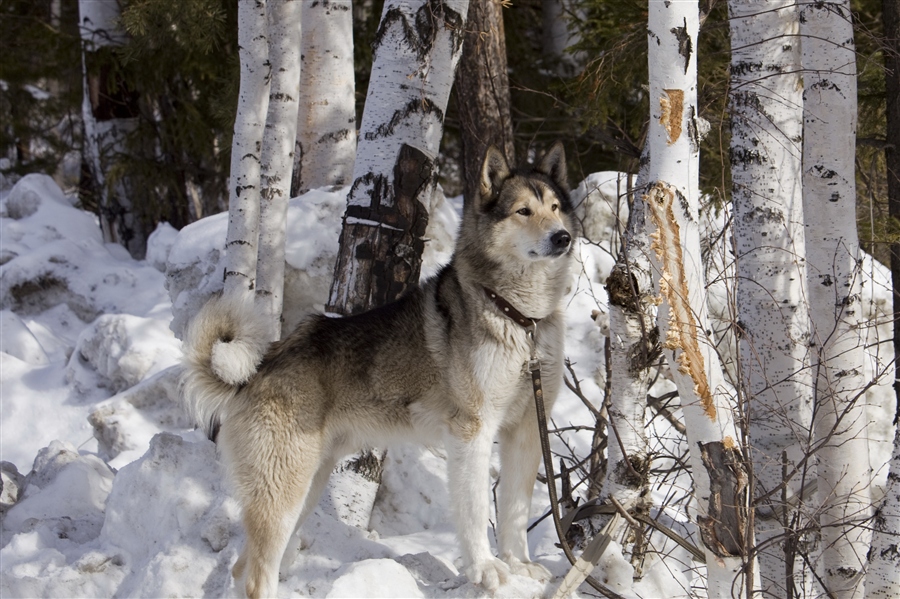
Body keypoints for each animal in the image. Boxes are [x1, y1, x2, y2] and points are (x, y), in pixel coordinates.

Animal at [181, 143, 576, 596]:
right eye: (523, 211)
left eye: (554, 207)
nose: (561, 237)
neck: (522, 320)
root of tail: (258, 370)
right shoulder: (472, 431)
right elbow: (476, 510)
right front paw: (486, 569)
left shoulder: (526, 429)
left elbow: (514, 508)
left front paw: (518, 564)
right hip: (282, 494)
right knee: (254, 577)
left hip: (307, 486)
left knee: (241, 567)